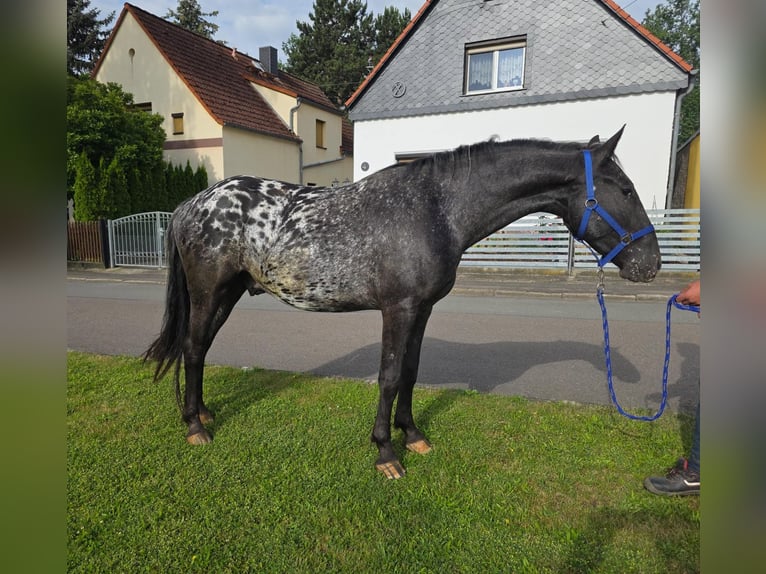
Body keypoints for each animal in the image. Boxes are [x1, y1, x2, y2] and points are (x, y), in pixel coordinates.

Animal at [144, 127, 661, 479]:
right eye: (626, 190)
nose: (651, 263)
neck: (434, 208)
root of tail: (192, 204)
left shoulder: (422, 310)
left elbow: (411, 372)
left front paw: (413, 436)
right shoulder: (399, 309)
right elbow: (390, 377)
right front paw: (385, 453)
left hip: (227, 294)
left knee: (199, 349)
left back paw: (202, 413)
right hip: (210, 292)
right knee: (193, 348)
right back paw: (194, 427)